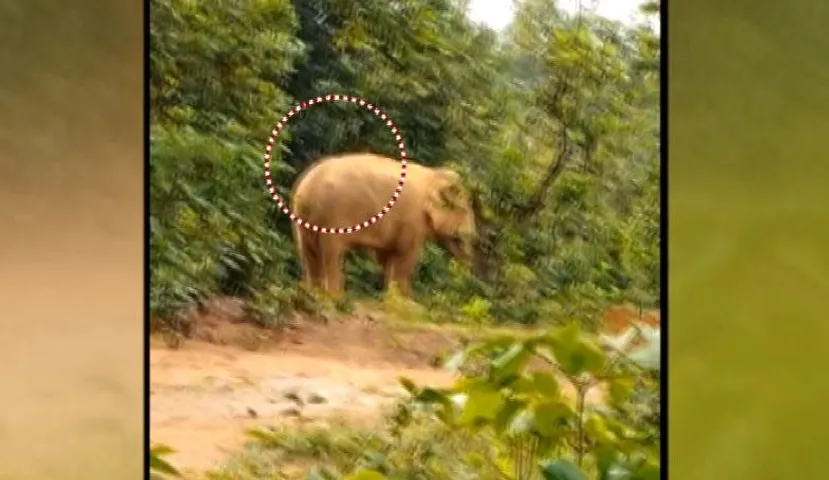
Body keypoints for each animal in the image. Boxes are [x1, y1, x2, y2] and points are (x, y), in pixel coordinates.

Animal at [290, 153, 477, 297]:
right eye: (464, 209)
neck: (432, 174)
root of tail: (307, 189)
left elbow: (387, 256)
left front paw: (390, 298)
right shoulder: (412, 219)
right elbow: (405, 256)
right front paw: (407, 302)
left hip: (303, 218)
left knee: (307, 253)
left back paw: (312, 293)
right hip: (332, 216)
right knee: (331, 254)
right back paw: (336, 297)